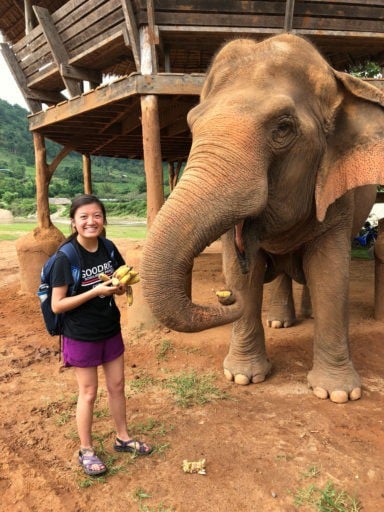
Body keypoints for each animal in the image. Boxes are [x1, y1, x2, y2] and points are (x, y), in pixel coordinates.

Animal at [140, 35, 384, 404]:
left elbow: (330, 271)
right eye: (192, 125)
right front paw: (242, 377)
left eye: (283, 128)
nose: (223, 297)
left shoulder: (337, 197)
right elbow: (244, 273)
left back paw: (307, 316)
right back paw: (281, 322)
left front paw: (338, 394)